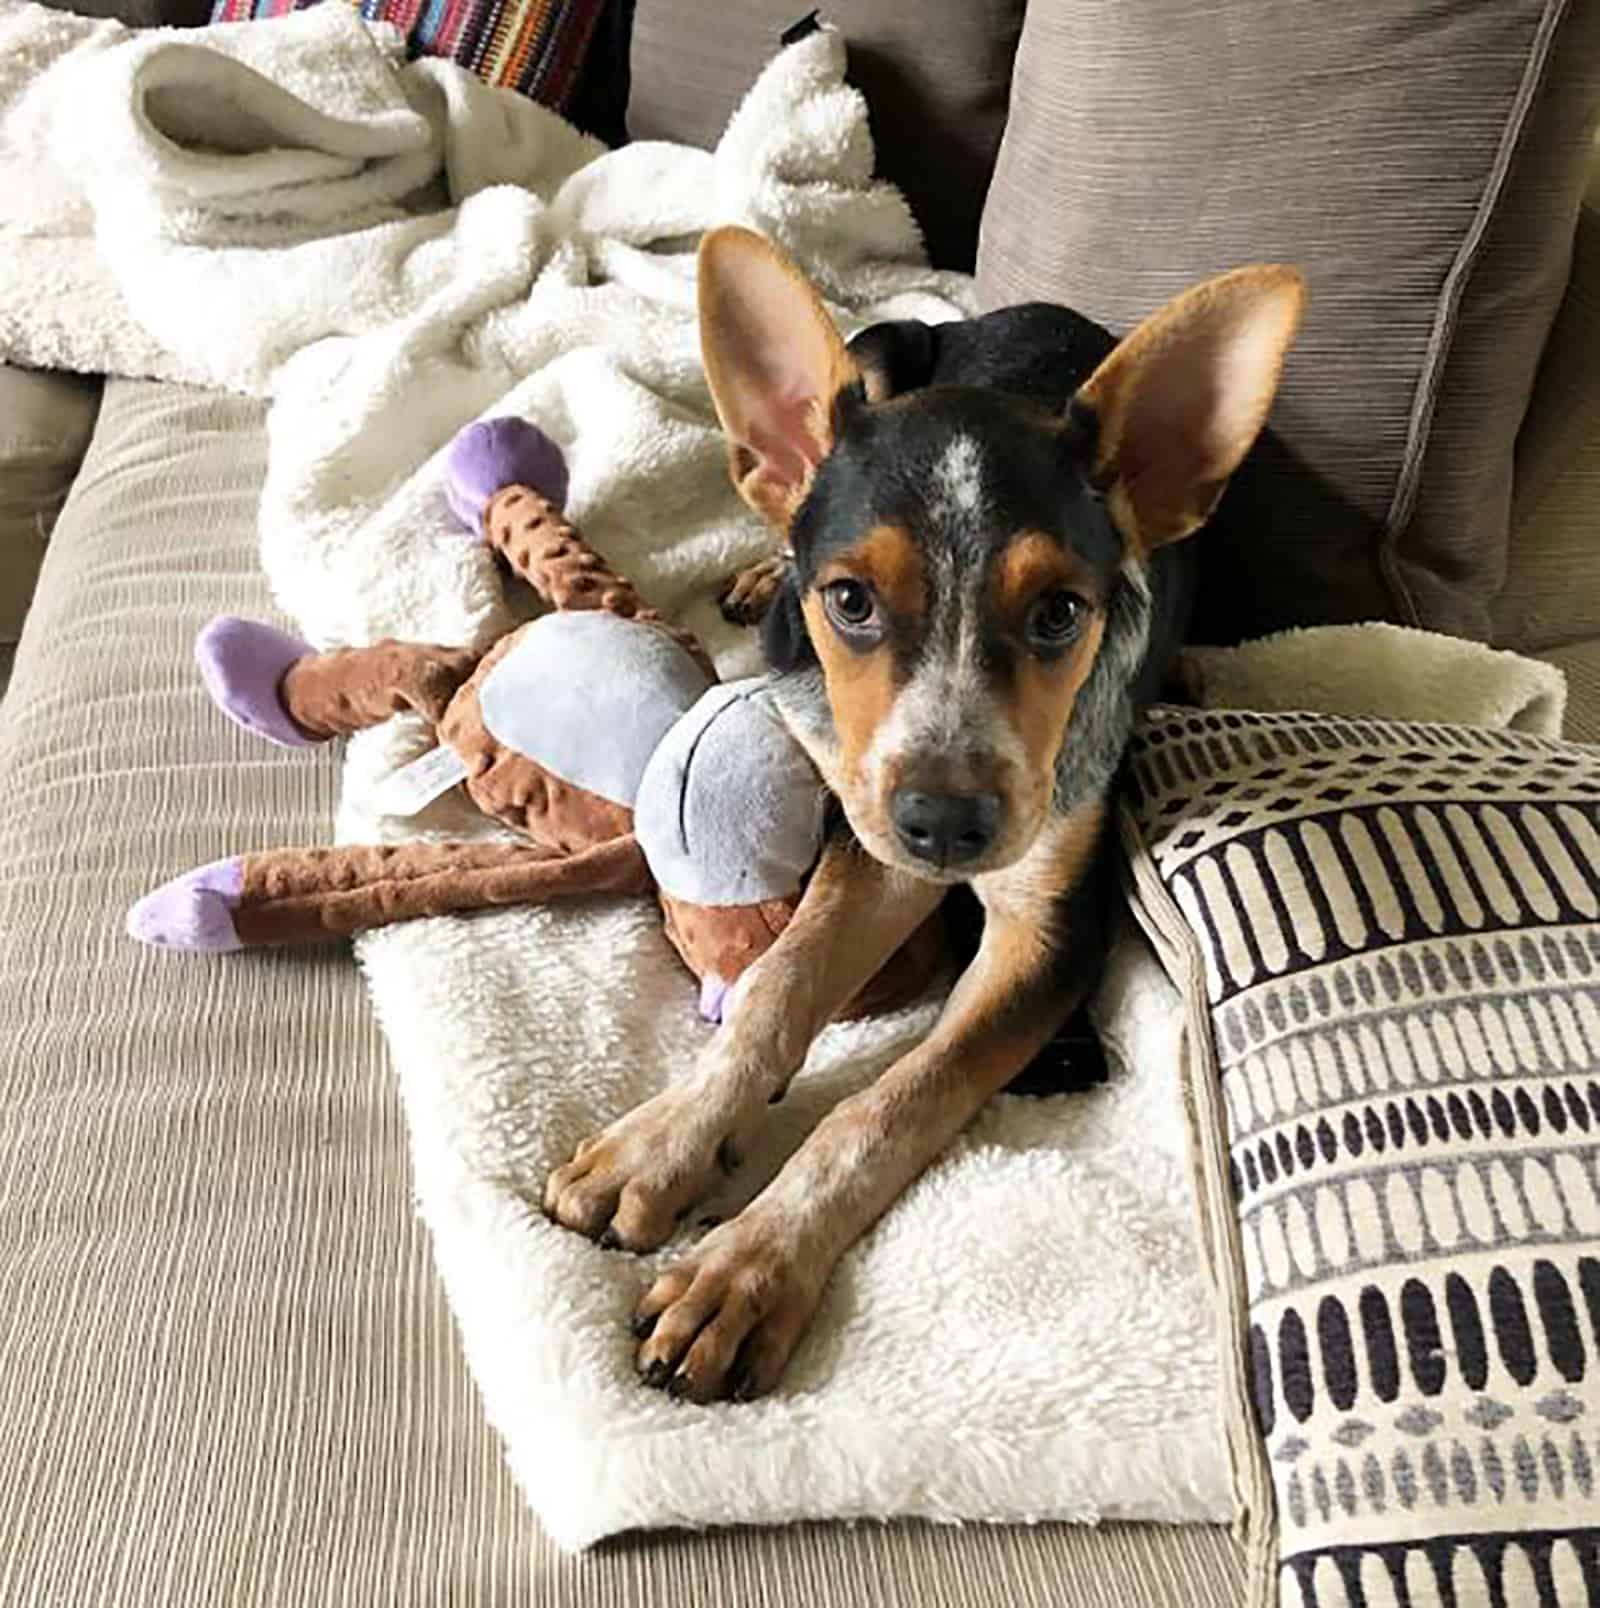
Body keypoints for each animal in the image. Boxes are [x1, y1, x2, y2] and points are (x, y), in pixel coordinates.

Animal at [543, 226, 1305, 1408]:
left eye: (1061, 614)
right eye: (851, 601)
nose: (947, 826)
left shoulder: (1047, 929)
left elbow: (885, 1104)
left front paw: (746, 1270)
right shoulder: (876, 848)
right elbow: (772, 992)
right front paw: (659, 1145)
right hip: (879, 346)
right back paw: (761, 562)